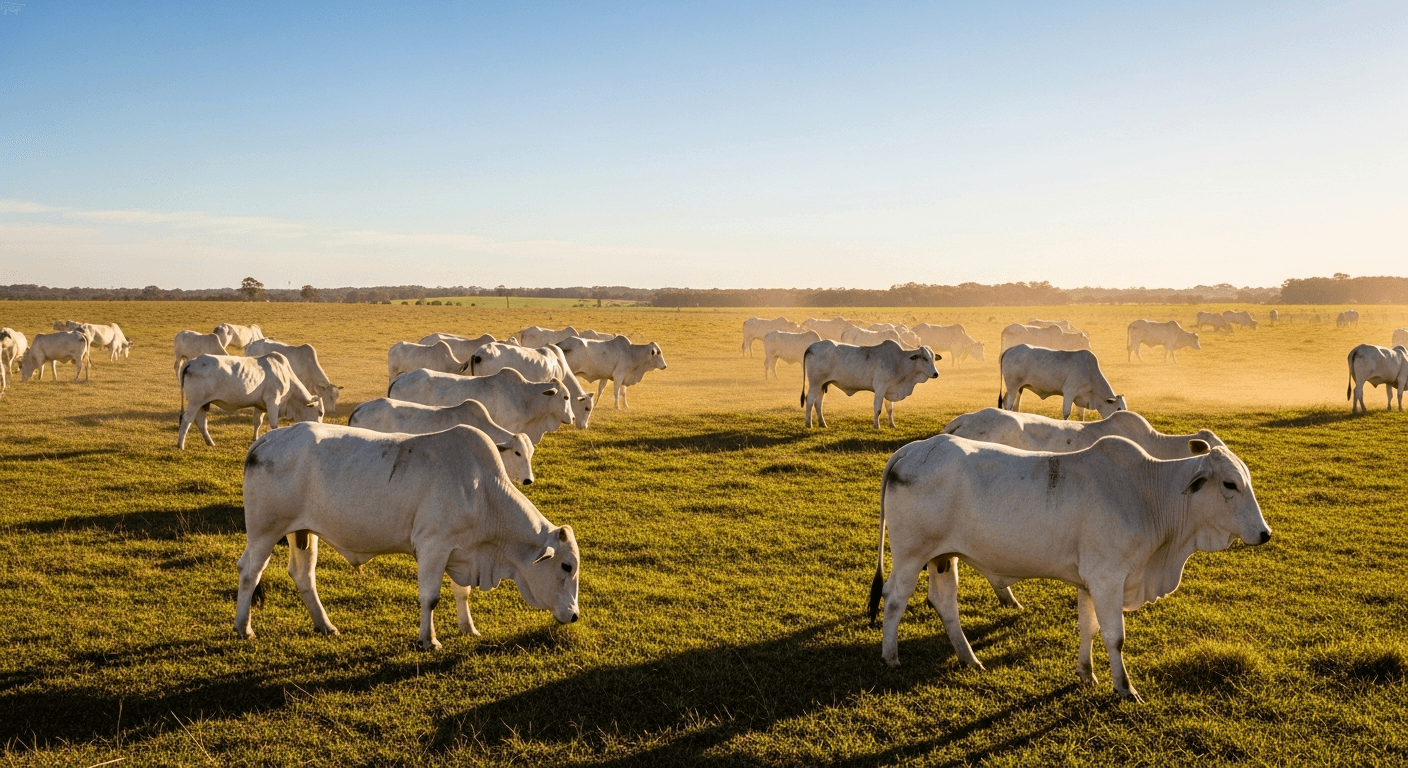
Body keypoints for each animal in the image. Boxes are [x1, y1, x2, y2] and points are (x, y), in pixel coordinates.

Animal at [177, 353, 323, 449]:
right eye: (320, 412)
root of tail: (192, 361)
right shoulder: (273, 401)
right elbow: (274, 424)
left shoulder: (259, 405)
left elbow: (257, 422)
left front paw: (255, 438)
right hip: (195, 402)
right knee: (187, 419)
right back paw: (180, 444)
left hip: (202, 404)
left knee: (201, 422)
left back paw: (210, 442)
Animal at [237, 422, 580, 648]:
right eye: (566, 566)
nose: (575, 615)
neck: (482, 490)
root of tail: (267, 439)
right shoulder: (433, 547)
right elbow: (430, 597)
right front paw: (429, 639)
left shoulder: (460, 550)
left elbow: (462, 593)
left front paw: (468, 628)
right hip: (265, 531)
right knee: (250, 572)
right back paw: (244, 628)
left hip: (303, 532)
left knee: (303, 575)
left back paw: (325, 625)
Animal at [800, 340, 940, 428]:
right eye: (925, 358)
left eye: (933, 358)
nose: (936, 373)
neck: (899, 362)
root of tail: (812, 346)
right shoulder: (880, 388)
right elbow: (878, 409)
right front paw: (876, 426)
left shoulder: (889, 390)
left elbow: (890, 409)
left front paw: (892, 425)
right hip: (815, 383)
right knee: (810, 400)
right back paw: (808, 423)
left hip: (822, 384)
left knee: (818, 403)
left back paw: (822, 423)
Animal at [868, 433, 1271, 701]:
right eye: (1230, 484)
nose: (1265, 533)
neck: (1147, 495)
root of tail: (914, 448)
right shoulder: (1108, 578)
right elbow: (1115, 636)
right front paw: (1125, 688)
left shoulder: (1088, 581)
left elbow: (1088, 628)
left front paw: (1086, 673)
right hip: (910, 556)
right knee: (894, 599)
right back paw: (890, 657)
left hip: (942, 557)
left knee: (944, 602)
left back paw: (970, 659)